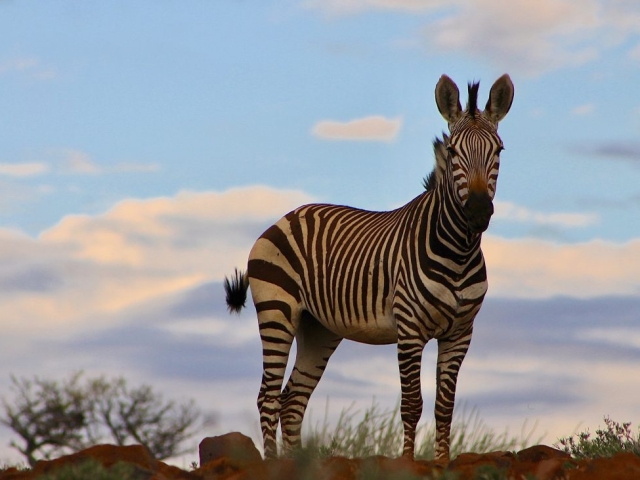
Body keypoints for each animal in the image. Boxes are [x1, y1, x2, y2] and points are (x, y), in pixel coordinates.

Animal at [224, 74, 514, 461]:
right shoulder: (409, 329)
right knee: (268, 398)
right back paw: (273, 464)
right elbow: (412, 404)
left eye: (498, 151)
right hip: (277, 311)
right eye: (453, 152)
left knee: (292, 401)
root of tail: (287, 216)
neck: (459, 251)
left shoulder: (460, 333)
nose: (479, 211)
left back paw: (297, 464)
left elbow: (444, 407)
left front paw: (442, 463)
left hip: (318, 328)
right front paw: (408, 463)